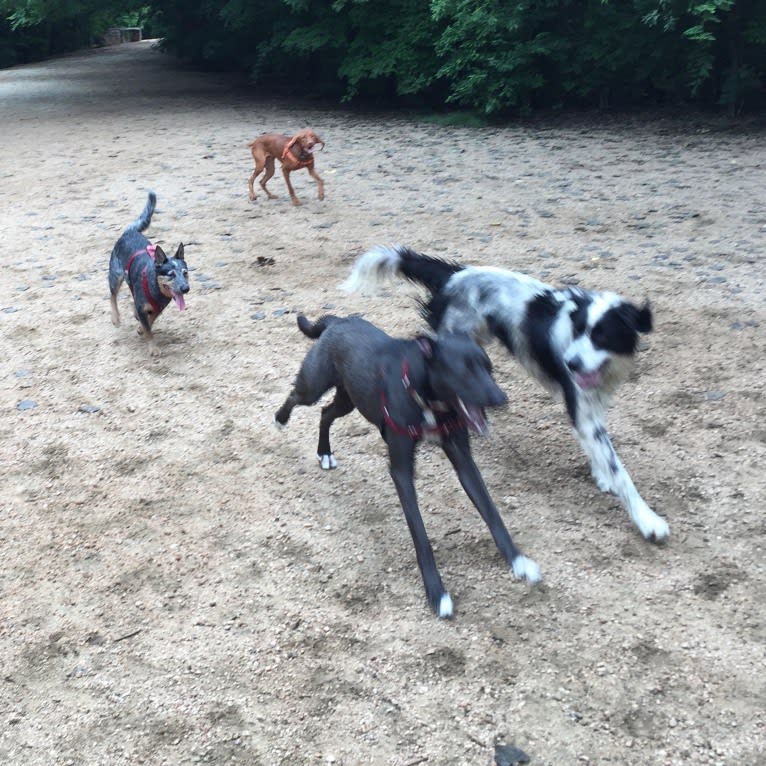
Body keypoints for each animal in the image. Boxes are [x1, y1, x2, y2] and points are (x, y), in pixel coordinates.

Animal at [109, 194, 190, 358]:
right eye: (171, 274)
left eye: (185, 273)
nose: (185, 288)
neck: (156, 290)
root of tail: (130, 231)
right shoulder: (142, 306)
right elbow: (148, 328)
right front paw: (153, 348)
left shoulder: (157, 308)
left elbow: (150, 321)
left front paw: (141, 328)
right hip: (116, 275)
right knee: (112, 295)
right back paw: (115, 318)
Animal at [274, 316, 540, 620]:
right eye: (464, 370)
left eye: (489, 367)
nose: (501, 398)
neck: (426, 397)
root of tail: (340, 320)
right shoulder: (402, 472)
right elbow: (420, 535)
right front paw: (436, 592)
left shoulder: (464, 461)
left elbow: (492, 513)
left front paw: (519, 561)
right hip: (315, 384)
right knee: (297, 396)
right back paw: (280, 418)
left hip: (350, 399)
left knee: (326, 413)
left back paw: (325, 452)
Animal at [344, 249, 672, 544]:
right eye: (578, 331)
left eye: (601, 336)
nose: (570, 363)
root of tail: (454, 274)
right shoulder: (579, 401)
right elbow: (620, 471)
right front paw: (648, 520)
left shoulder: (591, 401)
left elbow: (600, 450)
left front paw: (601, 474)